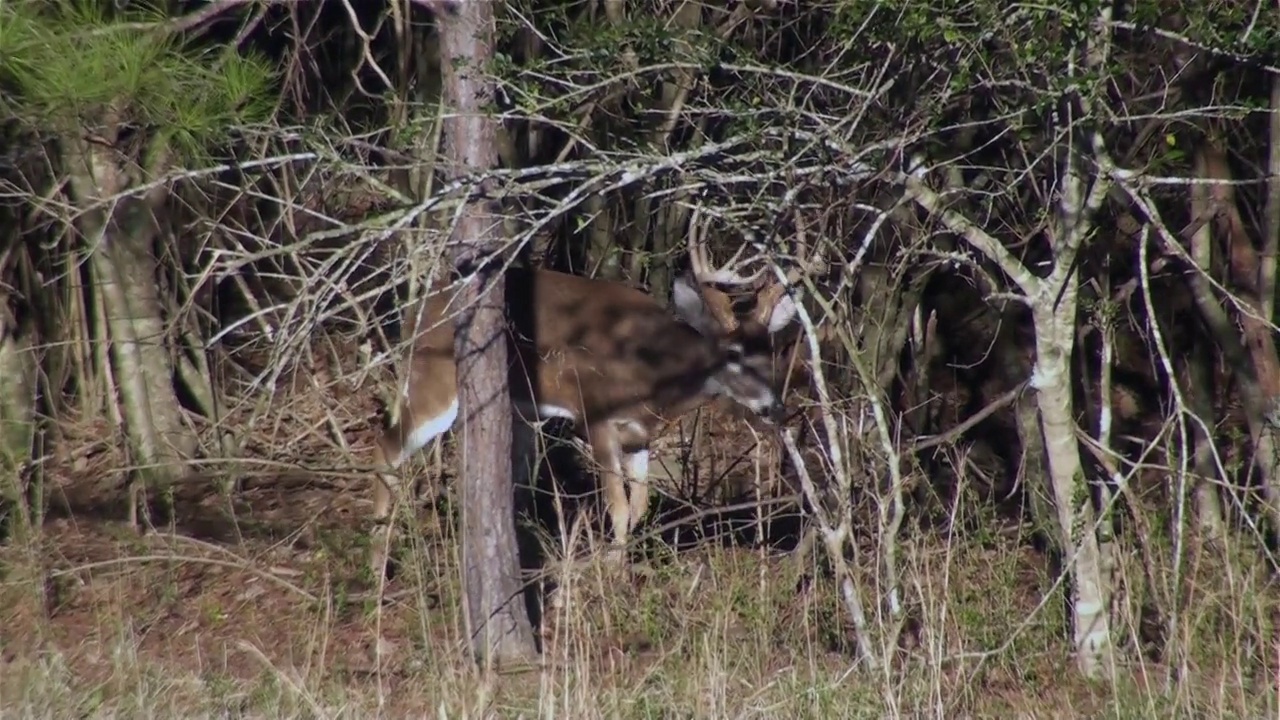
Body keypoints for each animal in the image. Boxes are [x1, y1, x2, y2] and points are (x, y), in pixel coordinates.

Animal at [371, 208, 829, 571]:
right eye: (732, 353)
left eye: (772, 351)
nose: (774, 406)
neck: (653, 373)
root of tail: (416, 310)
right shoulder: (594, 417)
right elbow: (618, 506)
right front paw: (611, 570)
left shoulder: (639, 436)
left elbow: (640, 505)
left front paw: (619, 563)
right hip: (435, 379)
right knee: (388, 447)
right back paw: (378, 559)